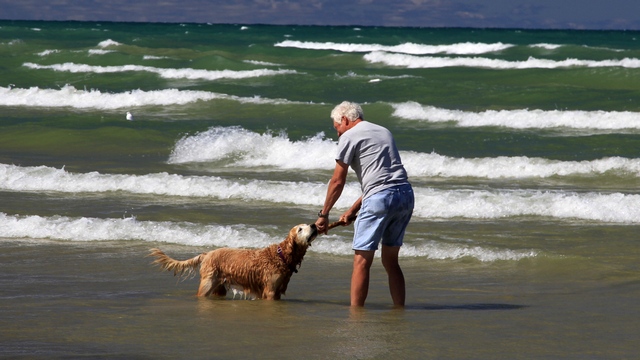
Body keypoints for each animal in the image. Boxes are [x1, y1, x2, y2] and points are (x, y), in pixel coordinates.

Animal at [151, 224, 320, 300]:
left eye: (306, 225)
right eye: (300, 229)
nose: (314, 225)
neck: (282, 256)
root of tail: (207, 253)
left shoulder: (277, 291)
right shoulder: (270, 291)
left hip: (219, 287)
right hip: (207, 284)